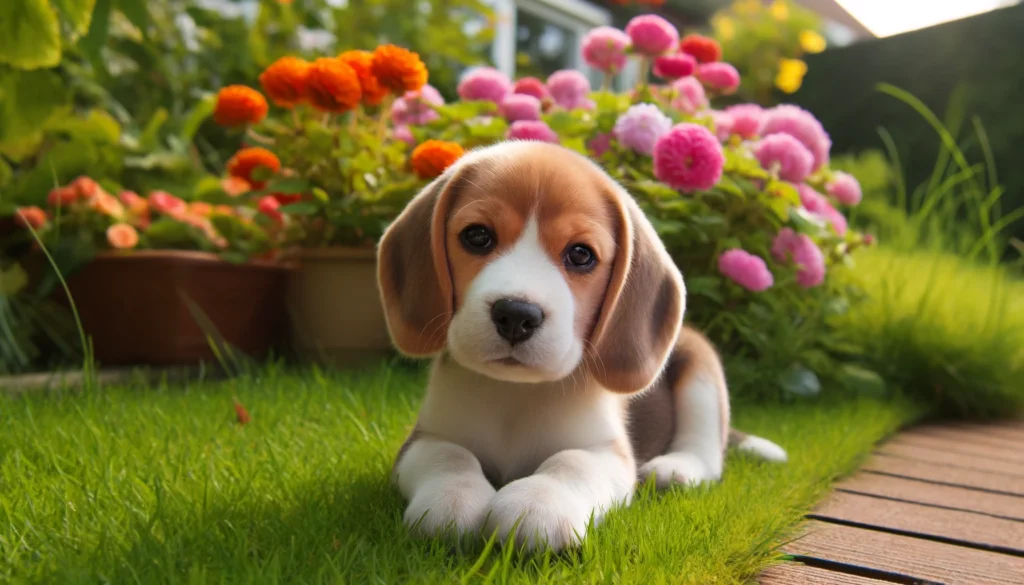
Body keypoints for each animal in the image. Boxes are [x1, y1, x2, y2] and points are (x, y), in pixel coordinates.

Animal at [376, 139, 782, 553]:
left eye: (580, 254)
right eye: (477, 236)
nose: (516, 315)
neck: (515, 396)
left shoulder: (610, 453)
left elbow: (571, 460)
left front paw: (539, 503)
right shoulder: (423, 439)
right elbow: (450, 455)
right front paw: (452, 498)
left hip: (700, 363)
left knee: (707, 450)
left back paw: (676, 467)